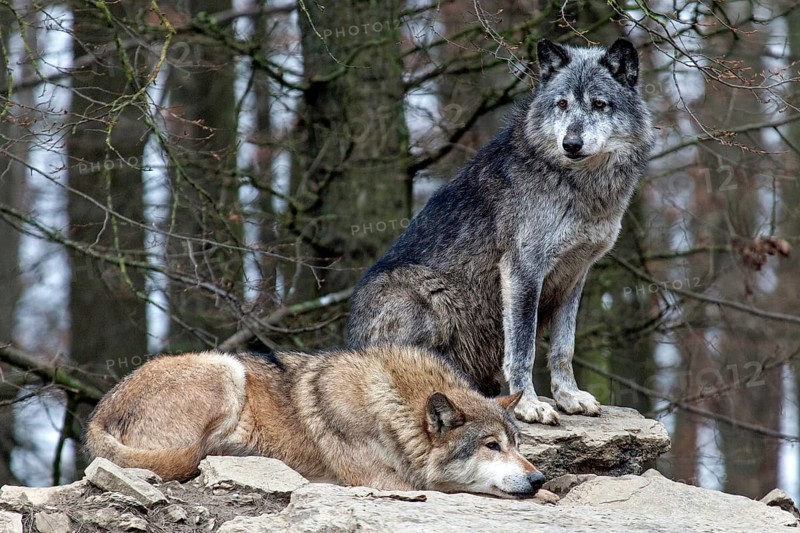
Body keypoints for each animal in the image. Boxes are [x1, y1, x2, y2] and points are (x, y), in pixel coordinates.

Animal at [85, 345, 546, 499]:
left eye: (518, 445)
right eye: (492, 446)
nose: (538, 476)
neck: (390, 407)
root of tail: (99, 414)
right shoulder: (383, 482)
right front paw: (544, 496)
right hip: (226, 369)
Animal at [347, 38, 654, 425]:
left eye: (599, 104)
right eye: (562, 104)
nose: (571, 143)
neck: (577, 185)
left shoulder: (575, 275)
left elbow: (563, 348)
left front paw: (568, 397)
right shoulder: (523, 271)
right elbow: (523, 348)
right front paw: (528, 405)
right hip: (428, 295)